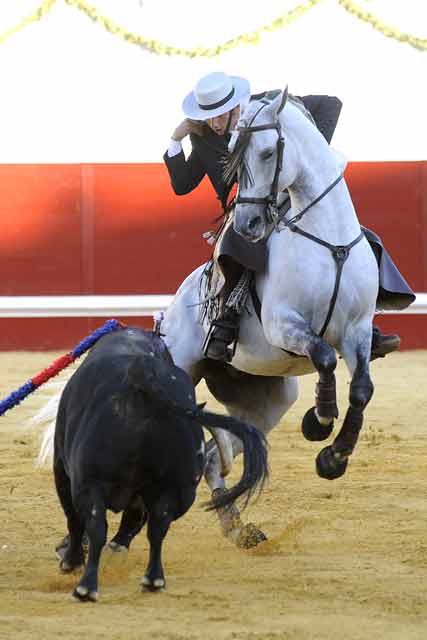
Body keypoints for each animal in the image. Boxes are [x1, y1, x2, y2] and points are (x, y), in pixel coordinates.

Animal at [53, 330, 268, 600]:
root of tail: (144, 375)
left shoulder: (64, 469)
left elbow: (76, 519)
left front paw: (71, 562)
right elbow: (136, 522)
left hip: (88, 481)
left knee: (93, 524)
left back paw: (86, 587)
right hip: (177, 488)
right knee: (158, 527)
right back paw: (153, 580)